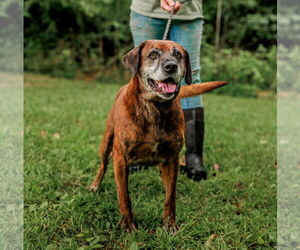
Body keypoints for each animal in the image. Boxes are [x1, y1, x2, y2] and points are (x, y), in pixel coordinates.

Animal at [89, 40, 227, 231]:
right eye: (153, 54)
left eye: (178, 55)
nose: (171, 66)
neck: (155, 107)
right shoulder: (120, 158)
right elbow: (124, 195)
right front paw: (127, 224)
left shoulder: (171, 159)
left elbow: (170, 196)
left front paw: (170, 224)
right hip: (106, 142)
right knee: (103, 165)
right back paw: (95, 185)